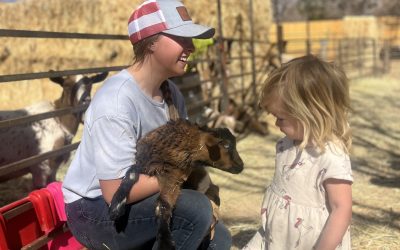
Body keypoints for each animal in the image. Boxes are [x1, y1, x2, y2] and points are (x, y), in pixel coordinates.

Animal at [108, 118, 244, 250]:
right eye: (226, 145)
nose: (241, 166)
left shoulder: (173, 179)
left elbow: (163, 205)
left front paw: (165, 242)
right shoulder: (149, 166)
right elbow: (130, 174)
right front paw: (116, 207)